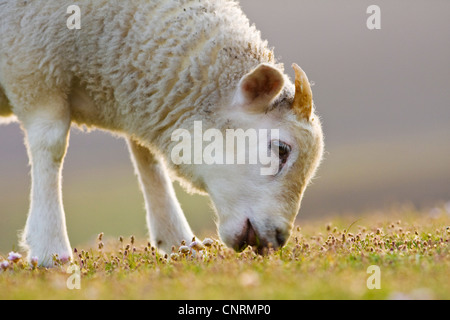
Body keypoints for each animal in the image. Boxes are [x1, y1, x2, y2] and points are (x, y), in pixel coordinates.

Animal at [0, 0, 324, 264]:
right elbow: (50, 144)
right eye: (281, 150)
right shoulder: (32, 66)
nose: (278, 238)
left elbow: (146, 156)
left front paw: (179, 242)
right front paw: (50, 250)